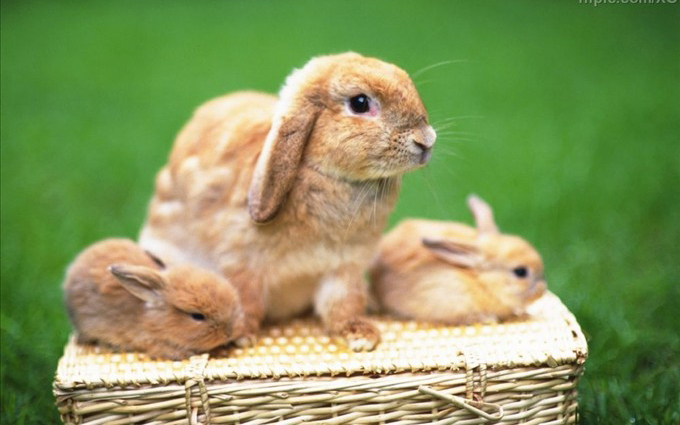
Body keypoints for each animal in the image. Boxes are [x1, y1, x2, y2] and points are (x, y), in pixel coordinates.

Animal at [138, 52, 436, 351]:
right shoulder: (242, 262)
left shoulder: (345, 267)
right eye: (360, 103)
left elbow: (342, 305)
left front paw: (361, 336)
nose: (426, 141)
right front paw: (242, 336)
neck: (325, 174)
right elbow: (246, 299)